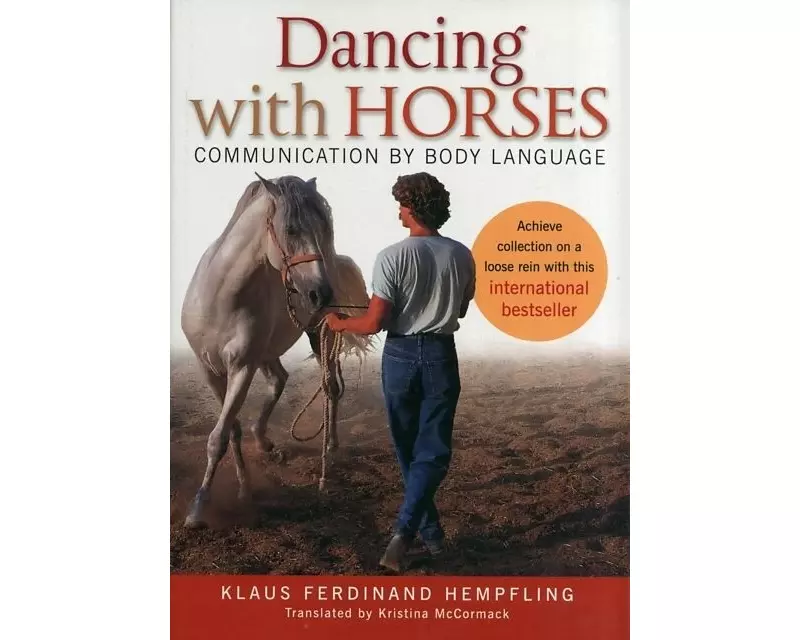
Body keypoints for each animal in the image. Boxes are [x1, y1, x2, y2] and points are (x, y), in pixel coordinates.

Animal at [180, 173, 373, 528]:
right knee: (280, 380)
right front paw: (243, 487)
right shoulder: (210, 369)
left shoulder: (242, 367)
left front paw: (198, 508)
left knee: (330, 386)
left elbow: (219, 436)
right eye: (291, 229)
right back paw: (265, 440)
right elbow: (231, 429)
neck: (222, 298)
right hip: (268, 354)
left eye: (324, 229)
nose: (321, 293)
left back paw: (330, 446)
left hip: (317, 337)